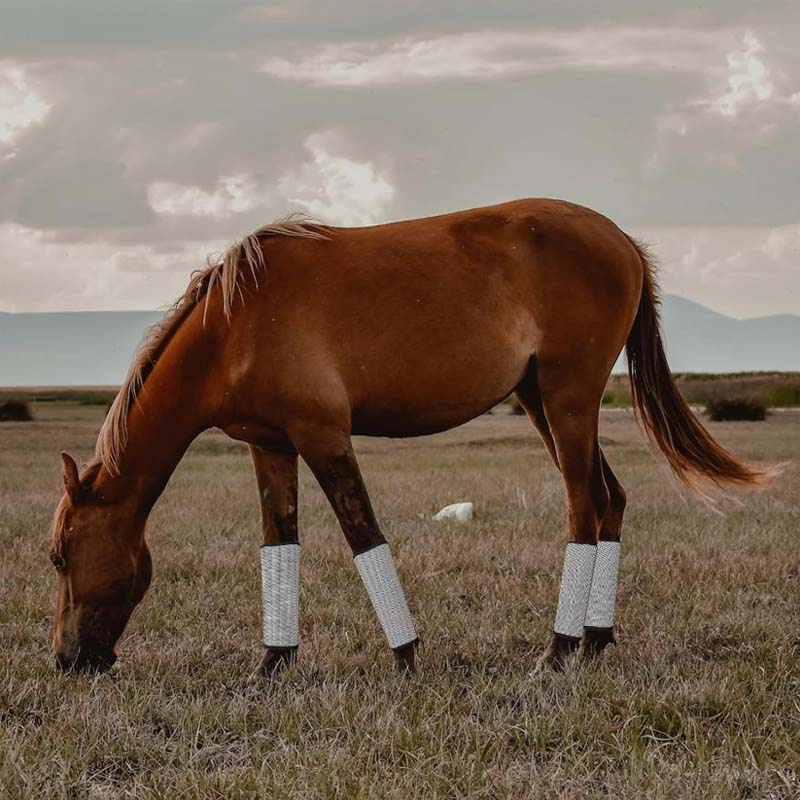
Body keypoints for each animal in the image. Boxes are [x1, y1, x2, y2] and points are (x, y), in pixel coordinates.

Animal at [49, 198, 770, 676]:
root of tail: (621, 239)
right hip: (542, 401)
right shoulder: (271, 445)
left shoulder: (323, 435)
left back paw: (559, 649)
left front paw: (406, 656)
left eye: (57, 558)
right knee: (610, 498)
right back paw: (594, 640)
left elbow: (363, 535)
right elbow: (279, 541)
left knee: (585, 509)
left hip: (569, 401)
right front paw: (273, 665)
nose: (65, 661)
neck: (234, 325)